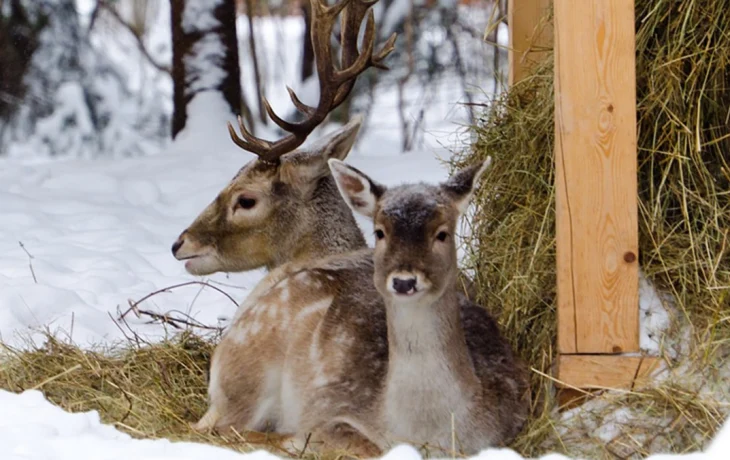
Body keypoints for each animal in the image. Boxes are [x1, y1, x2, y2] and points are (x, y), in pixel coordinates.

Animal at [191, 159, 528, 456]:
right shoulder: (332, 409)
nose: (404, 281)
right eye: (379, 232)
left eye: (442, 233)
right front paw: (297, 441)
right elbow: (364, 447)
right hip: (246, 375)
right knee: (215, 427)